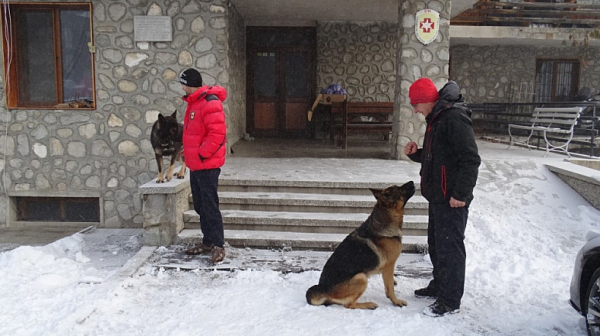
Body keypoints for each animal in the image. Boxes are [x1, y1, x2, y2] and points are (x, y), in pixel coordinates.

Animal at [308, 181, 414, 310]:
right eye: (399, 189)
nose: (412, 182)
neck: (386, 218)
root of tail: (323, 289)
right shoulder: (389, 266)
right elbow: (390, 288)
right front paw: (396, 301)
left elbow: (389, 284)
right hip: (361, 277)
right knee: (349, 305)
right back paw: (368, 304)